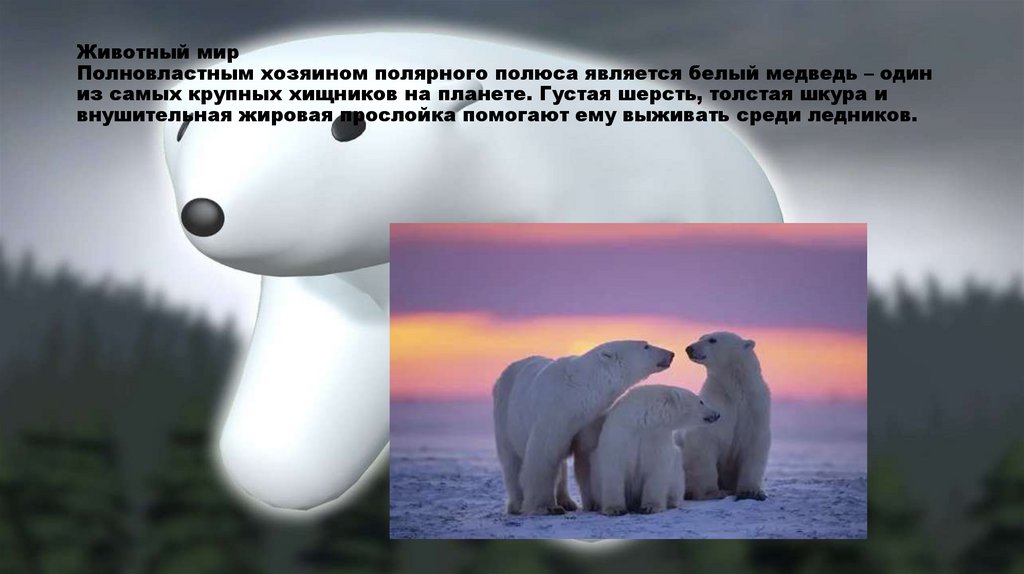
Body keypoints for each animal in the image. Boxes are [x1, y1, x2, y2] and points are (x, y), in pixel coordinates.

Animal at [492, 341, 674, 515]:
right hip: (504, 416)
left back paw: (567, 501)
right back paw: (517, 505)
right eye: (646, 346)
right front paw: (547, 507)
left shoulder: (590, 418)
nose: (671, 353)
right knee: (512, 462)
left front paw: (594, 503)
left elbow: (587, 456)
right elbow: (543, 457)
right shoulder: (553, 413)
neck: (576, 393)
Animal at [577, 385, 720, 515]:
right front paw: (615, 509)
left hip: (677, 472)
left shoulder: (656, 438)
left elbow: (657, 469)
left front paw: (650, 507)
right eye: (701, 401)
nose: (717, 414)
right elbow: (614, 469)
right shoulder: (621, 434)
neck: (643, 422)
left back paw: (671, 502)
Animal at [679, 331, 772, 501]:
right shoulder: (716, 407)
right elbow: (704, 444)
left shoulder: (754, 409)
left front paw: (751, 492)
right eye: (701, 337)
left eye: (712, 340)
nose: (689, 348)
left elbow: (754, 446)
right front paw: (713, 492)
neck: (734, 392)